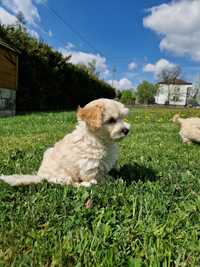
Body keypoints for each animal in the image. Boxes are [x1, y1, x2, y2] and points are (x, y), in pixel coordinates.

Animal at [0, 98, 130, 188]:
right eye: (111, 120)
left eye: (122, 118)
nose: (126, 130)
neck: (100, 139)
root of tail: (40, 175)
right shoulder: (89, 164)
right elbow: (93, 176)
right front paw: (99, 183)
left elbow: (103, 174)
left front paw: (110, 179)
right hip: (62, 176)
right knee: (71, 184)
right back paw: (84, 185)